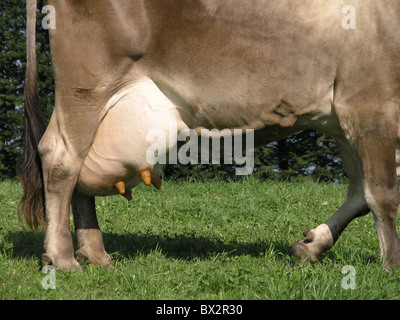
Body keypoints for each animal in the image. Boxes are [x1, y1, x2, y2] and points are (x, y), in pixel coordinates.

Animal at [19, 0, 400, 270]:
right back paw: (62, 258)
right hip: (86, 85)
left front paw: (310, 246)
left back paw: (95, 254)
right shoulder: (372, 105)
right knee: (61, 158)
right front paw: (392, 266)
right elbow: (382, 195)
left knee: (81, 174)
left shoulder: (343, 118)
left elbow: (360, 194)